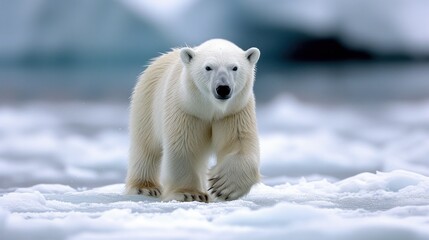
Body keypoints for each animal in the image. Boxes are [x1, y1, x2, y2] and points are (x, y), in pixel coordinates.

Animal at [124, 39, 260, 202]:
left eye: (234, 67)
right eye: (208, 67)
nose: (223, 88)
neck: (211, 109)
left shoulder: (234, 112)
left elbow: (239, 143)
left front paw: (223, 186)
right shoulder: (186, 110)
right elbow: (184, 148)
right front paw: (189, 193)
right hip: (146, 103)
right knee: (146, 147)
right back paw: (145, 188)